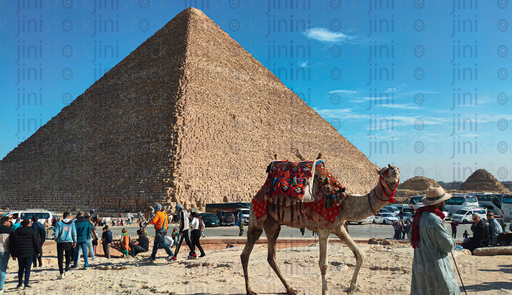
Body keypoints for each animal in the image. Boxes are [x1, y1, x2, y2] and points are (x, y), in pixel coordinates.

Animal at [242, 163, 402, 294]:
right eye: (383, 172)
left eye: (397, 170)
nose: (394, 169)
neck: (343, 204)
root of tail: (256, 195)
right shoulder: (323, 228)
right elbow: (324, 265)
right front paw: (327, 291)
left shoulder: (338, 227)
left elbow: (360, 254)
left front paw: (351, 288)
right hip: (256, 218)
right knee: (246, 253)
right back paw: (250, 290)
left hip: (273, 224)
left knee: (271, 257)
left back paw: (291, 289)